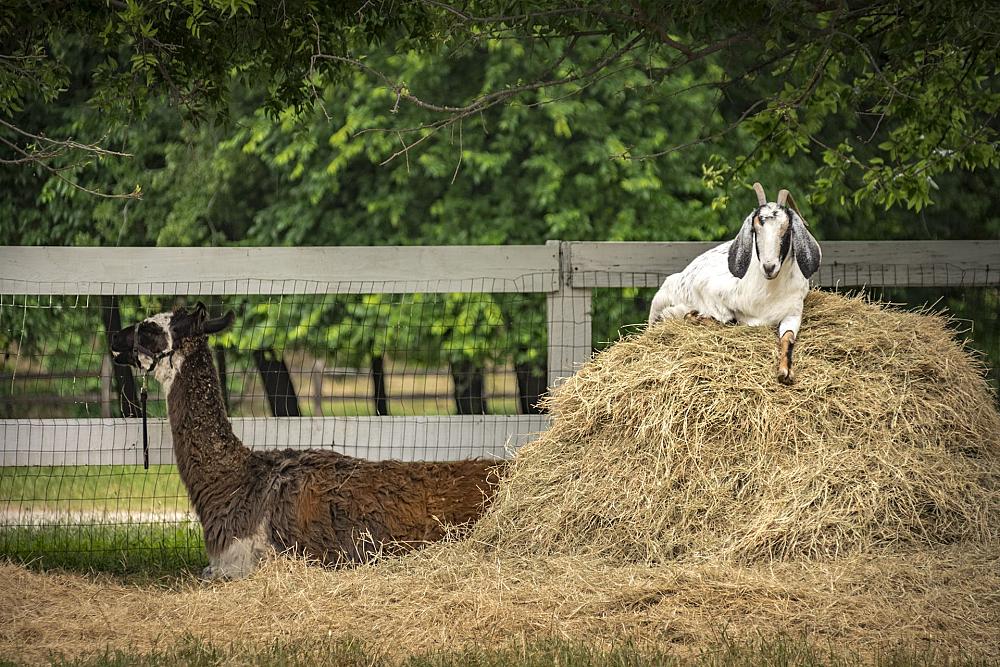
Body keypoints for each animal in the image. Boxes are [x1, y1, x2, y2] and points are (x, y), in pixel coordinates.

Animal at [648, 183, 822, 384]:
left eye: (786, 229)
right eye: (755, 228)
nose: (769, 267)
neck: (768, 294)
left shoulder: (793, 314)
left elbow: (788, 337)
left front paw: (785, 372)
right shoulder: (707, 289)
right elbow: (727, 318)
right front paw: (693, 315)